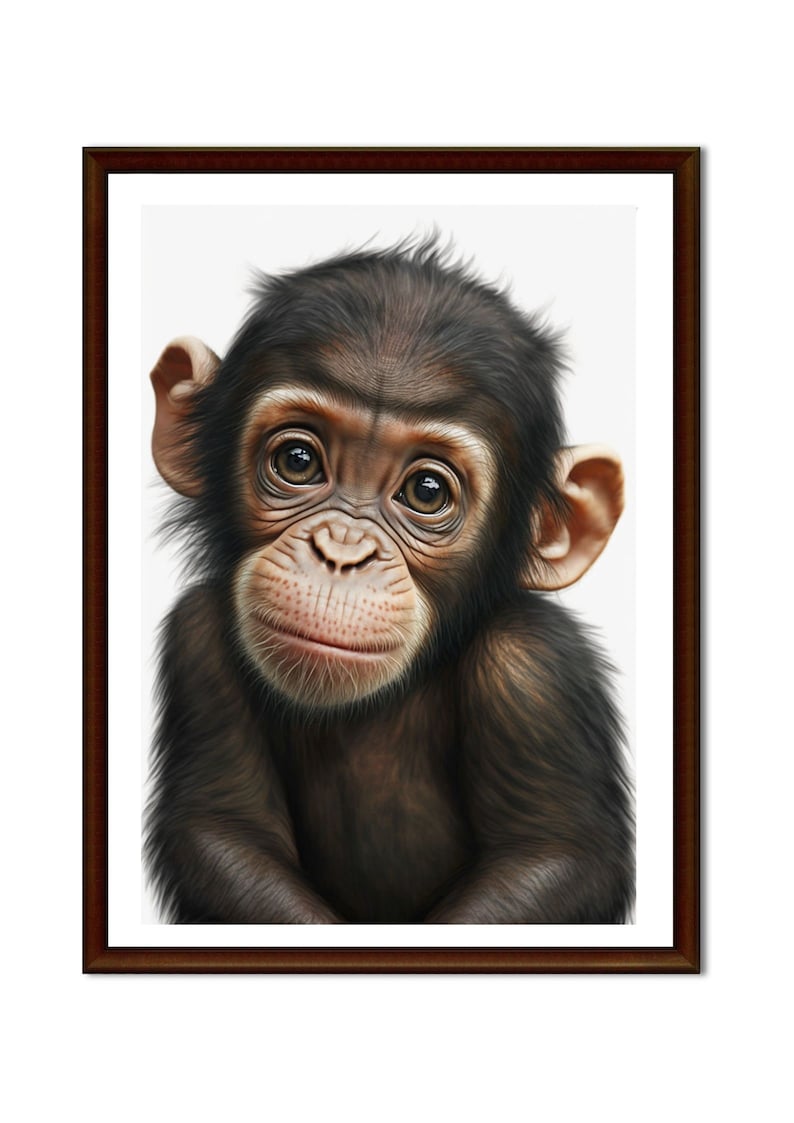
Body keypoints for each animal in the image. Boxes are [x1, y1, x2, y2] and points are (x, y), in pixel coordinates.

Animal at [145, 238, 634, 924]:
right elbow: (223, 829)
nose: (341, 552)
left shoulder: (535, 669)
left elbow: (555, 855)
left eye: (426, 491)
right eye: (297, 460)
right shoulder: (196, 638)